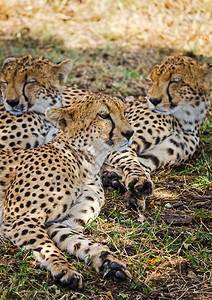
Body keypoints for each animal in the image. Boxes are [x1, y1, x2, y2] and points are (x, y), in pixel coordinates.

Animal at [0, 93, 132, 288]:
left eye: (125, 112)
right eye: (103, 115)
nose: (130, 133)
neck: (85, 164)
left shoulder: (61, 223)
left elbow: (82, 242)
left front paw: (109, 261)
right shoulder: (20, 218)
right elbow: (46, 246)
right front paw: (63, 268)